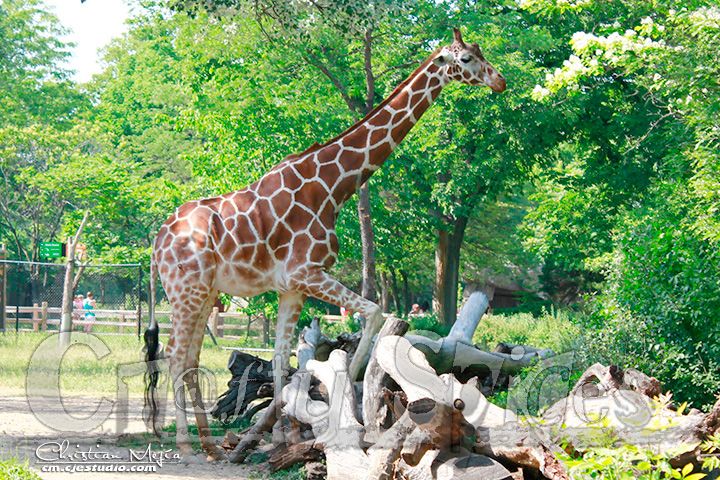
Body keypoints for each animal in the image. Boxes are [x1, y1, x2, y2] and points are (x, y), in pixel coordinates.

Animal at [143, 27, 506, 460]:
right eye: (466, 59)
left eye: (480, 54)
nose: (500, 81)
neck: (334, 187)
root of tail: (158, 241)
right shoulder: (307, 272)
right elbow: (374, 313)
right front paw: (349, 407)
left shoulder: (292, 287)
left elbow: (282, 360)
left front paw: (275, 438)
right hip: (187, 290)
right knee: (174, 354)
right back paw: (184, 442)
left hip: (204, 292)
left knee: (191, 355)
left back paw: (209, 444)